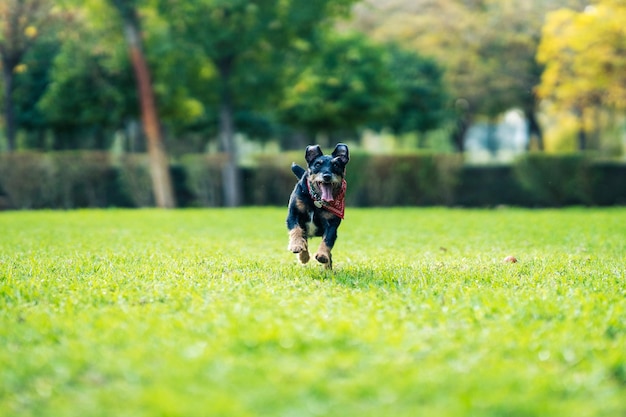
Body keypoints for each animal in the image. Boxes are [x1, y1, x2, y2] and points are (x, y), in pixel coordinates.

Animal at [286, 142, 348, 270]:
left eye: (336, 165)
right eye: (318, 164)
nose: (327, 176)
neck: (316, 200)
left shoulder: (332, 224)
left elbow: (327, 240)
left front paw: (323, 255)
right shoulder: (293, 214)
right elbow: (296, 230)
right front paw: (296, 245)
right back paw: (303, 256)